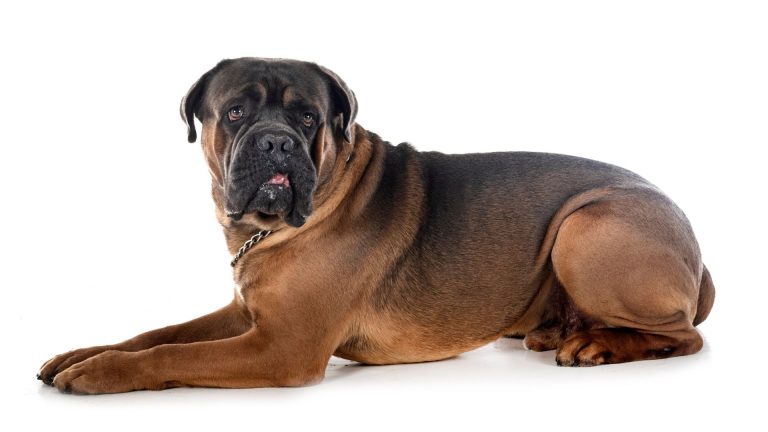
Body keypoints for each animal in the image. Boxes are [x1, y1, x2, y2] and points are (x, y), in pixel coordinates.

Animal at [40, 58, 712, 394]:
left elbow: (172, 354)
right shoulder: (244, 314)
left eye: (308, 117)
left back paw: (598, 344)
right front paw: (81, 353)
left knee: (682, 336)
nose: (277, 143)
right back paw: (556, 333)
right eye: (233, 112)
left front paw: (99, 374)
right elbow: (157, 334)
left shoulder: (281, 347)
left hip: (586, 226)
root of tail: (698, 256)